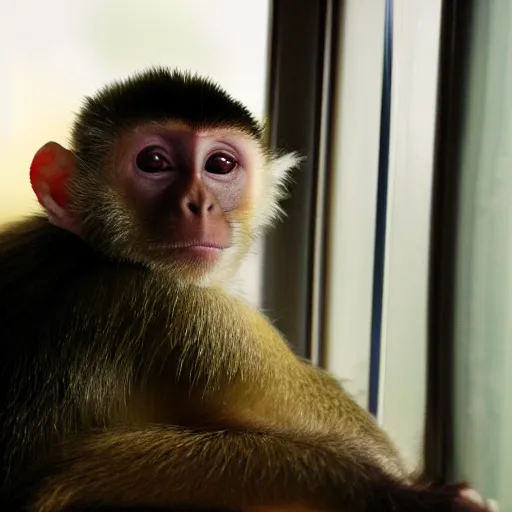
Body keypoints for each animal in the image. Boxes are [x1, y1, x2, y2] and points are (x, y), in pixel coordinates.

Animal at [0, 68, 490, 512]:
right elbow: (367, 451)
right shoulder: (192, 315)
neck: (89, 253)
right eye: (154, 162)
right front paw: (389, 488)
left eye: (220, 165)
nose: (199, 204)